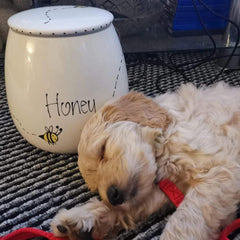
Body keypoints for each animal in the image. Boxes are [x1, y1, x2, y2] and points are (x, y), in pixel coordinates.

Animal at [51, 81, 240, 239]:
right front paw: (80, 220)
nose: (112, 195)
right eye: (95, 187)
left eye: (102, 150)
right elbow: (138, 204)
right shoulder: (170, 188)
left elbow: (185, 219)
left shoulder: (220, 171)